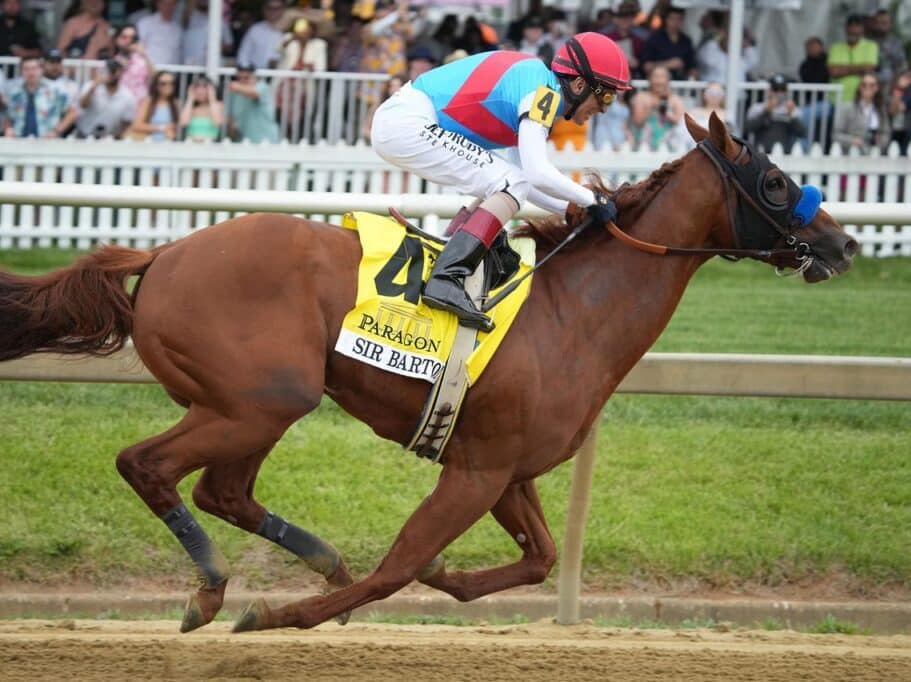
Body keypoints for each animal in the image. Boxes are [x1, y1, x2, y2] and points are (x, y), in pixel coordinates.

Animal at [0, 114, 856, 628]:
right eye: (774, 181)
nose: (842, 243)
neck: (571, 313)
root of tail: (162, 253)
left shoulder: (504, 467)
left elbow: (539, 558)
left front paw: (447, 577)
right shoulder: (474, 473)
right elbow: (396, 568)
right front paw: (279, 617)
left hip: (254, 403)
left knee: (221, 490)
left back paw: (314, 561)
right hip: (259, 399)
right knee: (146, 465)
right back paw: (214, 590)